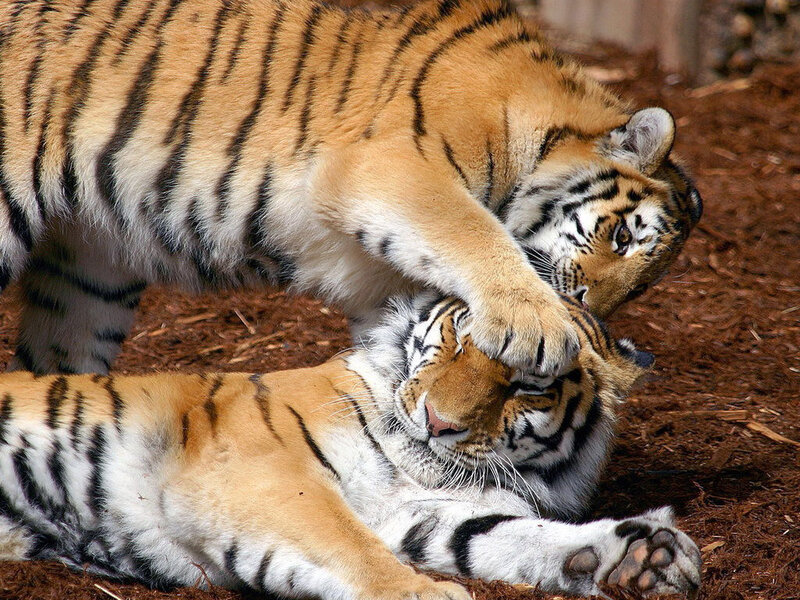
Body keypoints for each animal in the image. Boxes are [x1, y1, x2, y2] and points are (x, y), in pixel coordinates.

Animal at [0, 0, 702, 377]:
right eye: (621, 235)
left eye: (641, 287)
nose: (586, 303)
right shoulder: (393, 169)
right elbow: (476, 233)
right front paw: (538, 326)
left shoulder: (386, 285)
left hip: (92, 268)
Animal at [0, 293, 702, 599]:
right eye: (457, 340)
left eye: (528, 384)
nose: (437, 422)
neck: (412, 470)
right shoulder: (261, 471)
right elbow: (352, 549)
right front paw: (430, 597)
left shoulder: (418, 517)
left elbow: (500, 537)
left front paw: (642, 557)